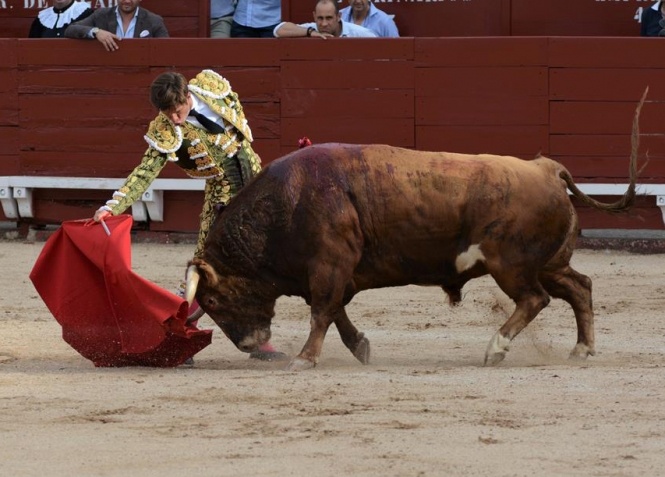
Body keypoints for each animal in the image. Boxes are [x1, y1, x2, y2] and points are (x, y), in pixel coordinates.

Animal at [185, 91, 644, 370]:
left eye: (213, 299)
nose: (249, 345)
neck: (287, 202)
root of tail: (545, 167)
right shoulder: (333, 272)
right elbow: (335, 312)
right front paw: (361, 347)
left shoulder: (330, 265)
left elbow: (322, 312)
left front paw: (305, 358)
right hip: (548, 261)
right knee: (579, 287)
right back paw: (581, 349)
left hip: (511, 263)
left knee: (536, 298)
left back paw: (496, 348)